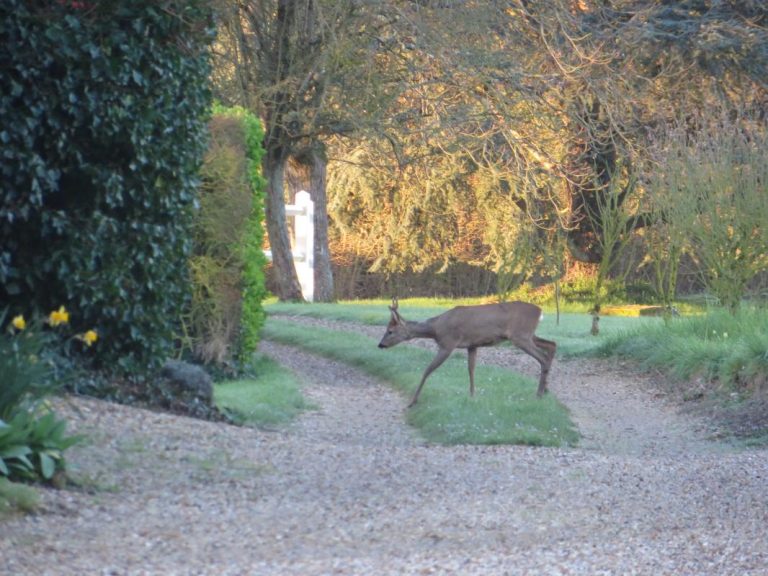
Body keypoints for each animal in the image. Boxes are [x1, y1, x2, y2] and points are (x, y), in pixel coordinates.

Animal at [376, 300, 552, 408]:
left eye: (390, 331)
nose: (380, 344)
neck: (435, 329)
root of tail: (540, 311)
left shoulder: (448, 344)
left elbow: (427, 370)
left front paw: (412, 402)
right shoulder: (472, 345)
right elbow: (471, 370)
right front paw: (472, 396)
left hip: (520, 335)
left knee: (543, 357)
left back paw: (539, 394)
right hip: (528, 335)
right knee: (552, 346)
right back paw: (546, 390)